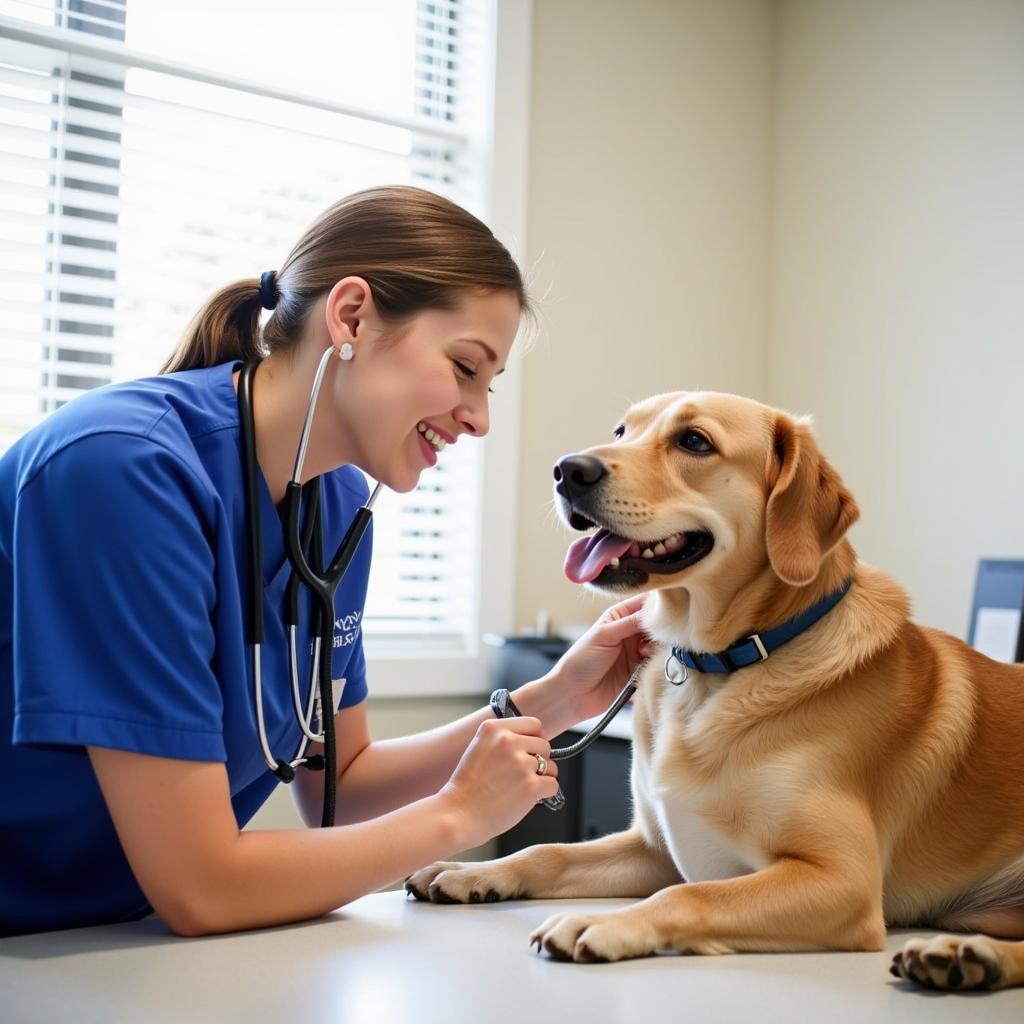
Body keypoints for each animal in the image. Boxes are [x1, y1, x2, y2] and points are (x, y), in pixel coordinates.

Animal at [405, 391, 1024, 991]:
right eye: (622, 431)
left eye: (694, 441)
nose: (566, 471)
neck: (719, 663)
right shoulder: (654, 847)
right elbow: (546, 851)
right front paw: (471, 871)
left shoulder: (841, 879)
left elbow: (688, 893)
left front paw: (601, 922)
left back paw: (966, 955)